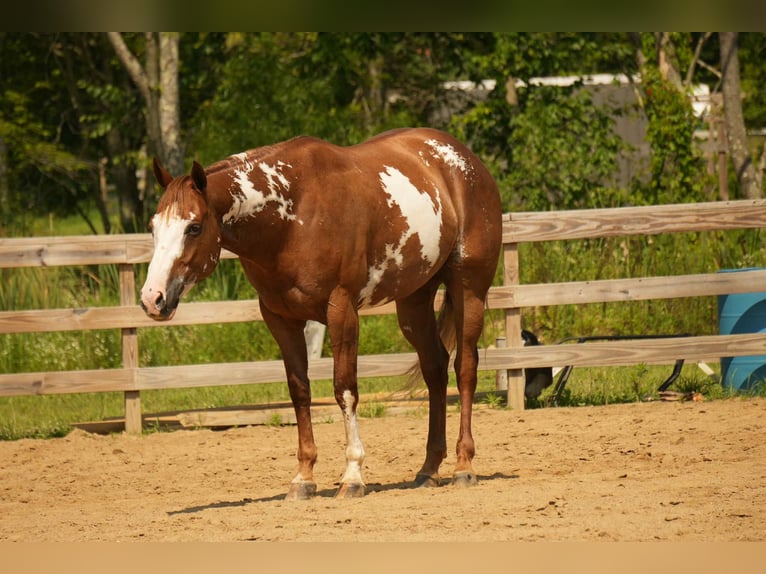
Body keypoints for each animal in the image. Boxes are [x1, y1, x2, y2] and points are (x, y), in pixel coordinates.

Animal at [140, 127, 503, 499]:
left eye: (194, 227)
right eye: (153, 227)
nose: (152, 298)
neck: (291, 216)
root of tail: (466, 161)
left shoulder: (341, 311)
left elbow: (345, 389)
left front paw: (353, 475)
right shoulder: (280, 319)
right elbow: (299, 391)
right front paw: (303, 477)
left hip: (469, 290)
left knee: (465, 368)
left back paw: (463, 466)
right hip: (414, 302)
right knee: (435, 369)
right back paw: (429, 469)